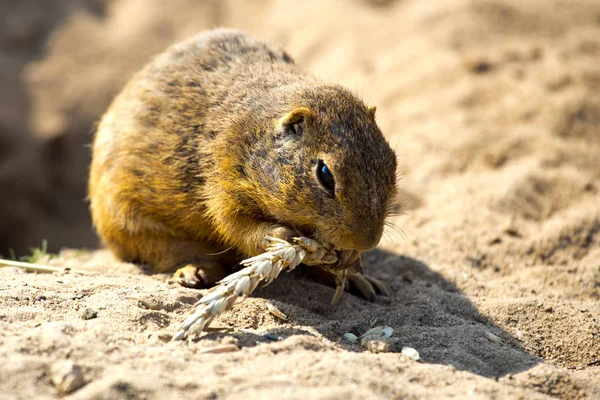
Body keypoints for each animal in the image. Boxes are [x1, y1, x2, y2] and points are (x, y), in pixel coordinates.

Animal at [88, 29, 398, 300]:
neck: (255, 133)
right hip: (130, 224)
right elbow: (237, 226)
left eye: (391, 161)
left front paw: (349, 259)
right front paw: (282, 236)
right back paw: (194, 271)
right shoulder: (221, 182)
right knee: (169, 252)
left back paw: (361, 282)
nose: (368, 242)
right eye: (325, 175)